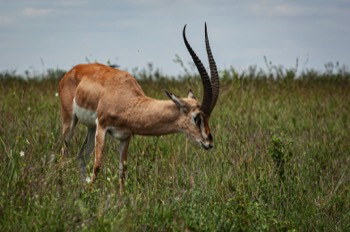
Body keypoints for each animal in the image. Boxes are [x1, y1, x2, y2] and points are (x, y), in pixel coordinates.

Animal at [58, 23, 220, 192]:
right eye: (196, 117)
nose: (209, 143)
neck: (129, 101)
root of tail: (71, 71)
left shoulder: (125, 136)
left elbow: (122, 171)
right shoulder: (102, 127)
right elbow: (97, 166)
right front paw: (91, 195)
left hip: (90, 128)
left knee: (81, 156)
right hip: (70, 121)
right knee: (64, 153)